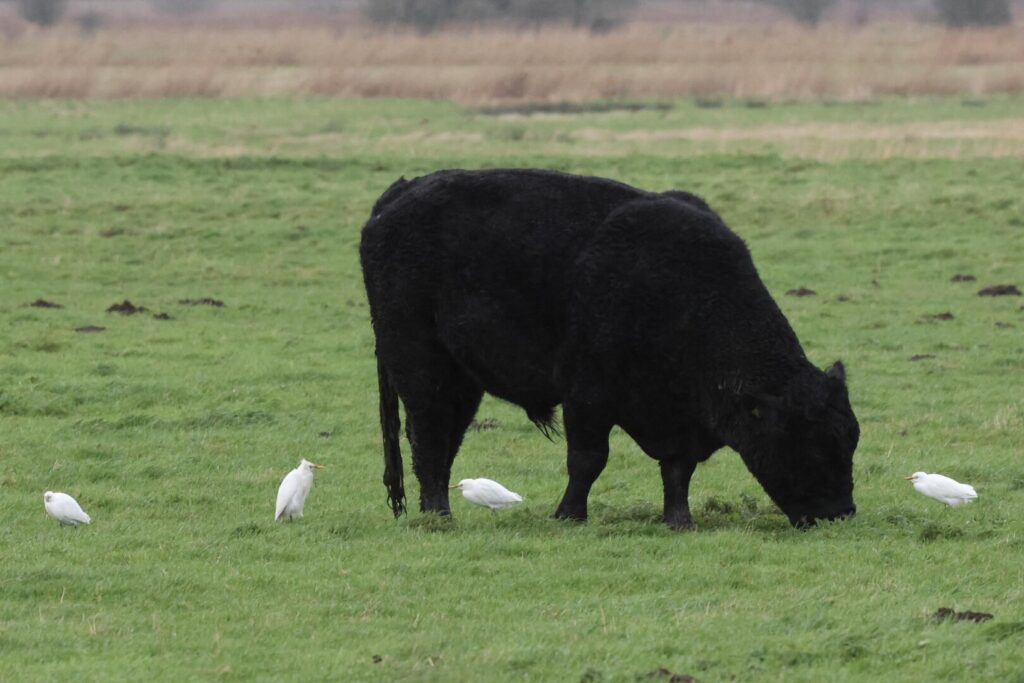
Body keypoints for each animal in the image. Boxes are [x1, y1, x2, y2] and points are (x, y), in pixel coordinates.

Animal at [360, 169, 856, 528]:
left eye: (849, 439)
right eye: (813, 443)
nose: (841, 513)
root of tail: (402, 193)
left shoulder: (678, 417)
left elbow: (677, 470)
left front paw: (679, 520)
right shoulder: (587, 396)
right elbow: (588, 460)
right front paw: (569, 515)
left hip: (463, 379)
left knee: (446, 440)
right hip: (423, 366)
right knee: (428, 434)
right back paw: (439, 515)